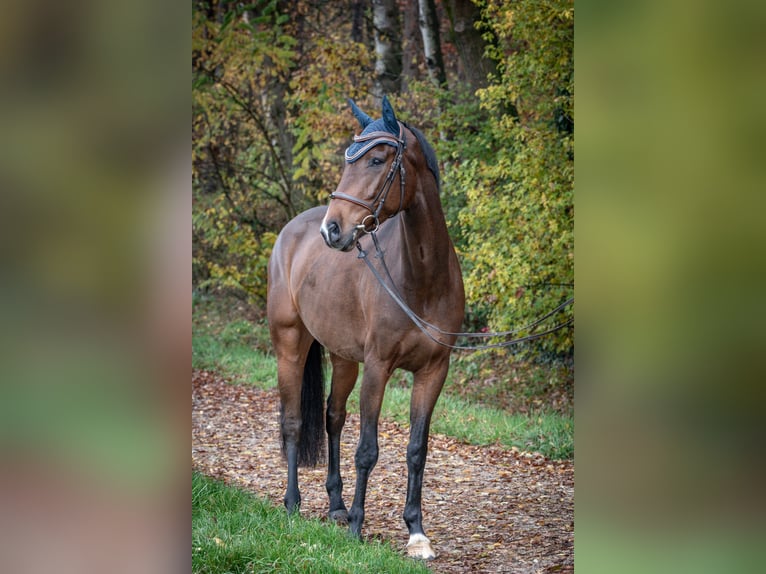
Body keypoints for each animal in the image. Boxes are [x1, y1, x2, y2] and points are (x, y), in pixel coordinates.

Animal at [268, 95, 464, 564]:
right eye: (348, 159)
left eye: (377, 159)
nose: (333, 230)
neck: (423, 281)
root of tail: (293, 230)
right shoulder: (378, 368)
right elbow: (368, 450)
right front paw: (359, 527)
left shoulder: (434, 371)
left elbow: (416, 450)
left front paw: (416, 532)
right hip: (290, 345)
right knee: (293, 422)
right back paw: (293, 504)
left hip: (343, 359)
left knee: (332, 418)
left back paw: (336, 505)